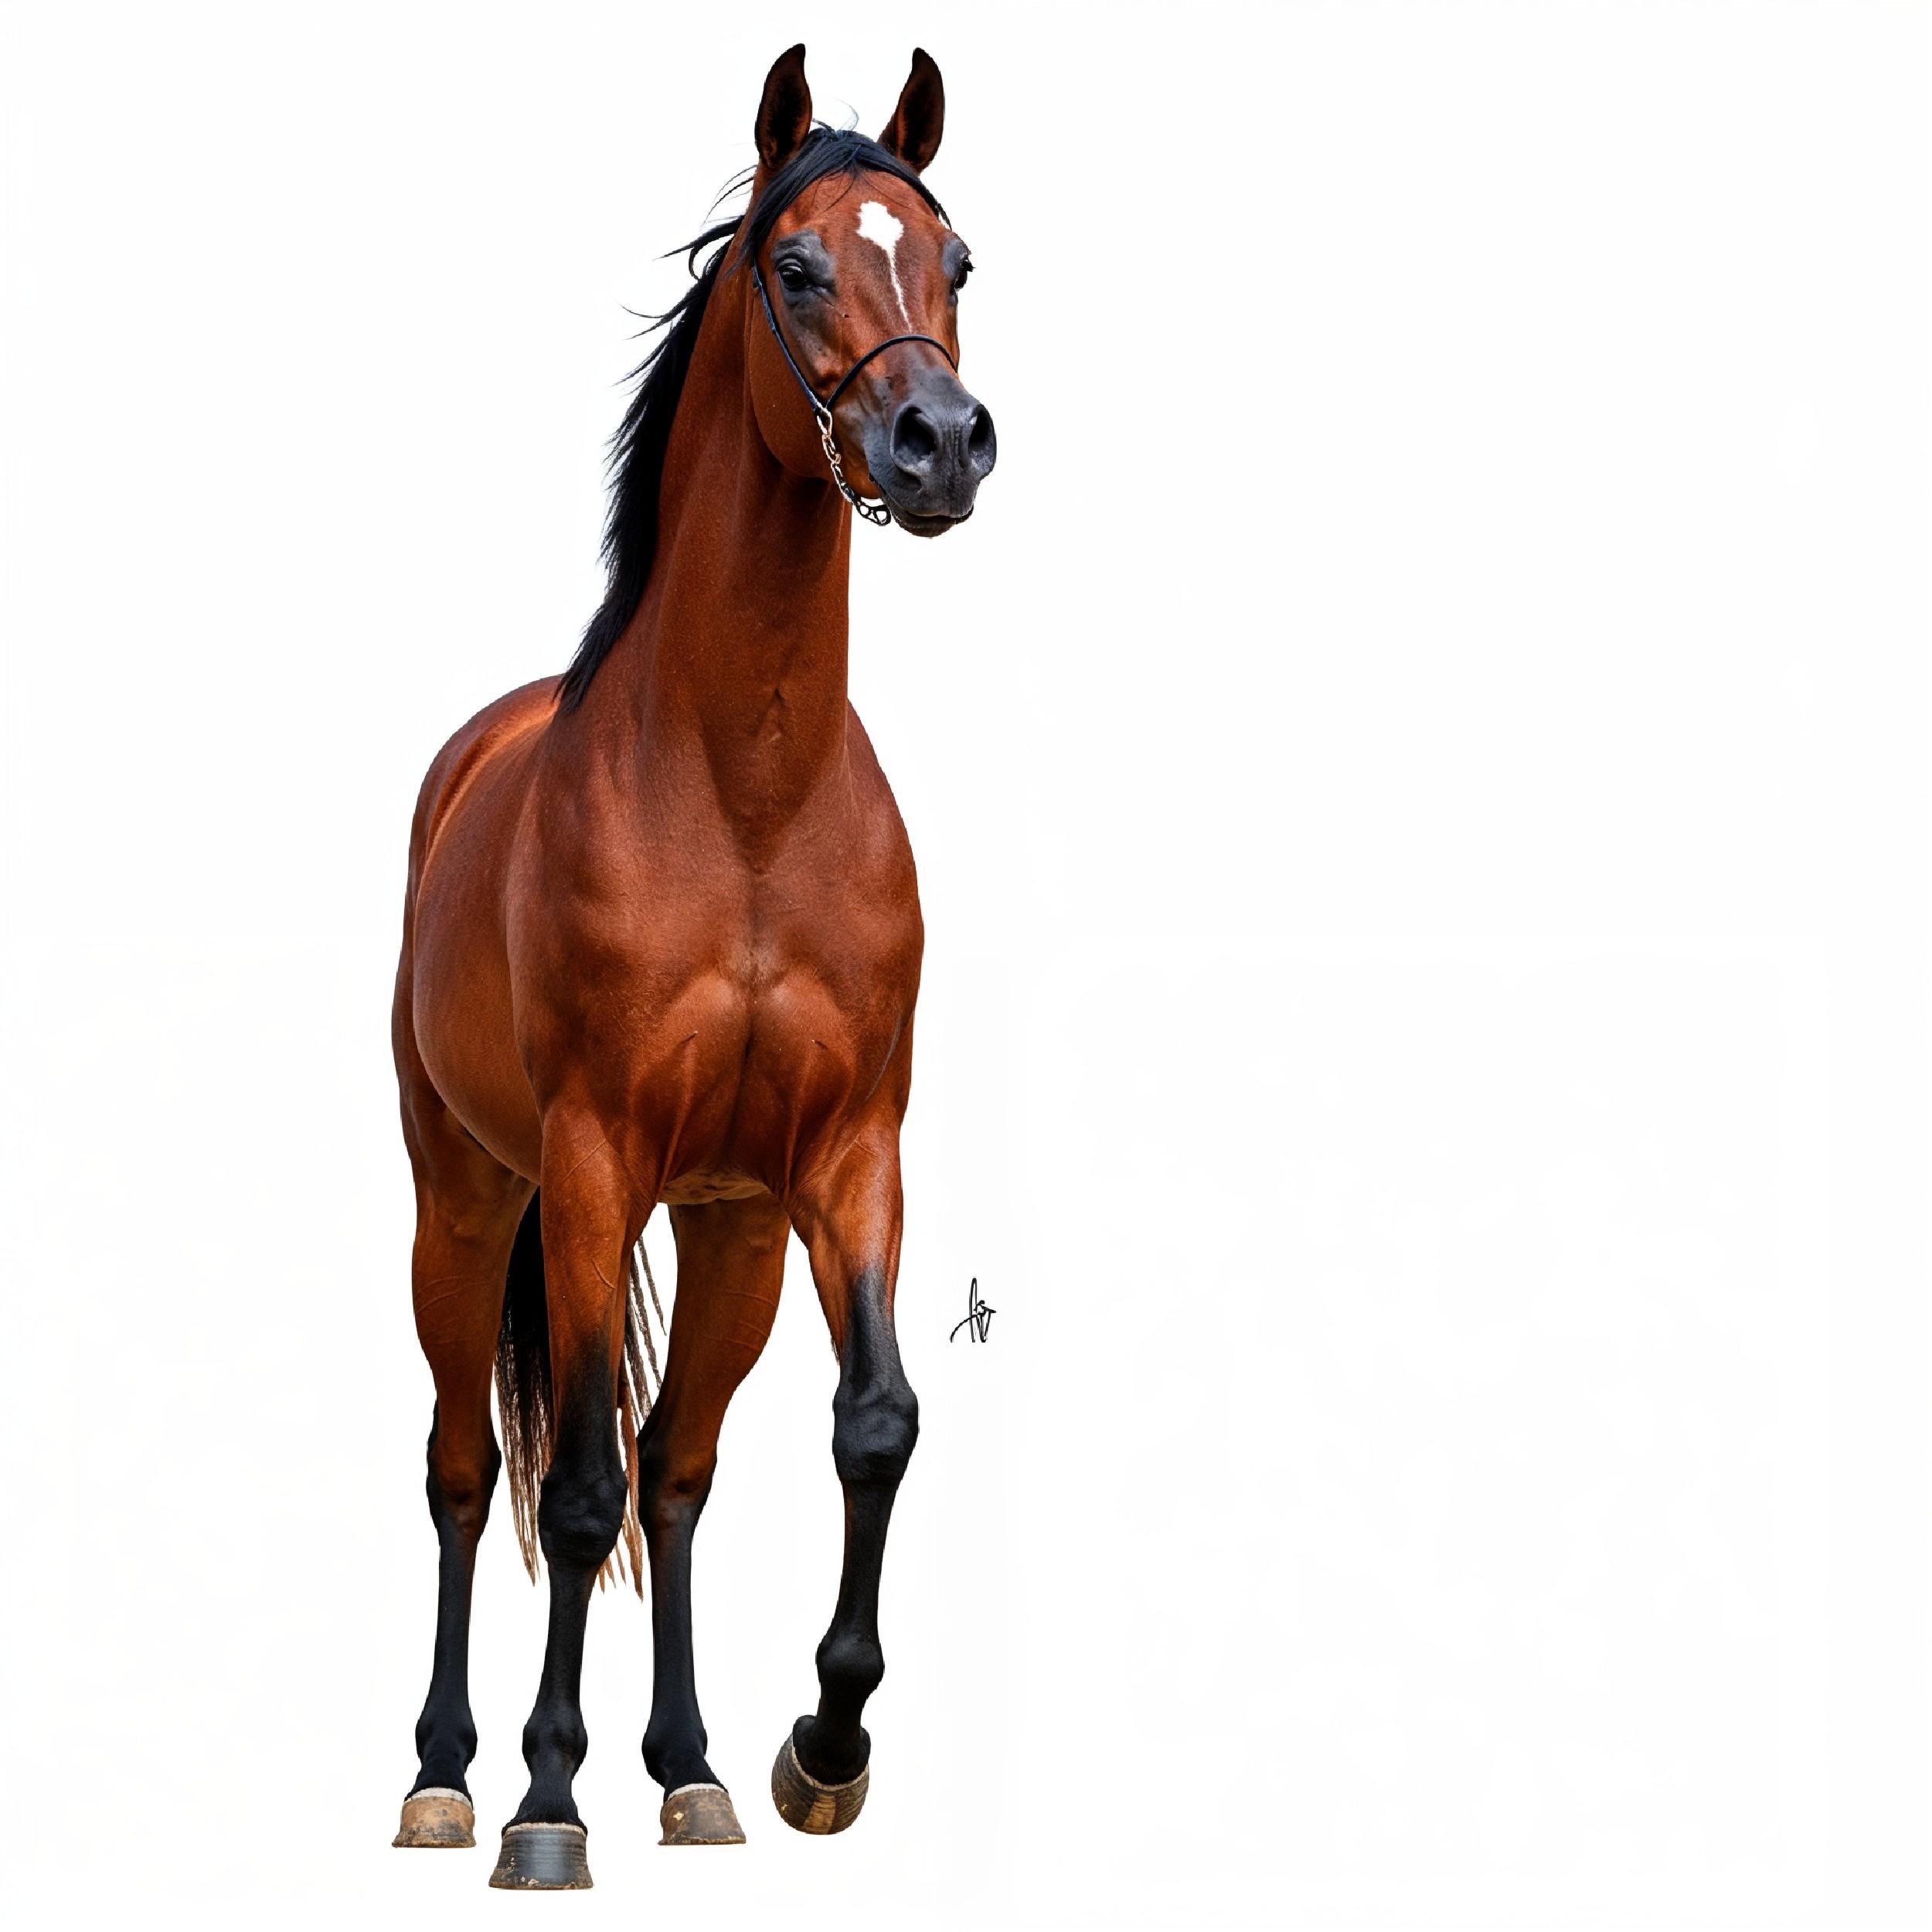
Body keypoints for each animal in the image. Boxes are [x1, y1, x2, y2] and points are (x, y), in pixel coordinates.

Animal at [386, 44, 995, 1889]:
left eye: (956, 261)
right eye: (793, 265)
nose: (939, 443)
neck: (741, 800)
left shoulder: (841, 1159)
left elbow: (868, 1422)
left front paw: (819, 1750)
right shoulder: (593, 1164)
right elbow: (569, 1486)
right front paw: (544, 1803)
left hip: (723, 1231)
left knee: (679, 1466)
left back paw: (688, 1768)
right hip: (471, 1201)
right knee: (470, 1467)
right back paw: (446, 1776)